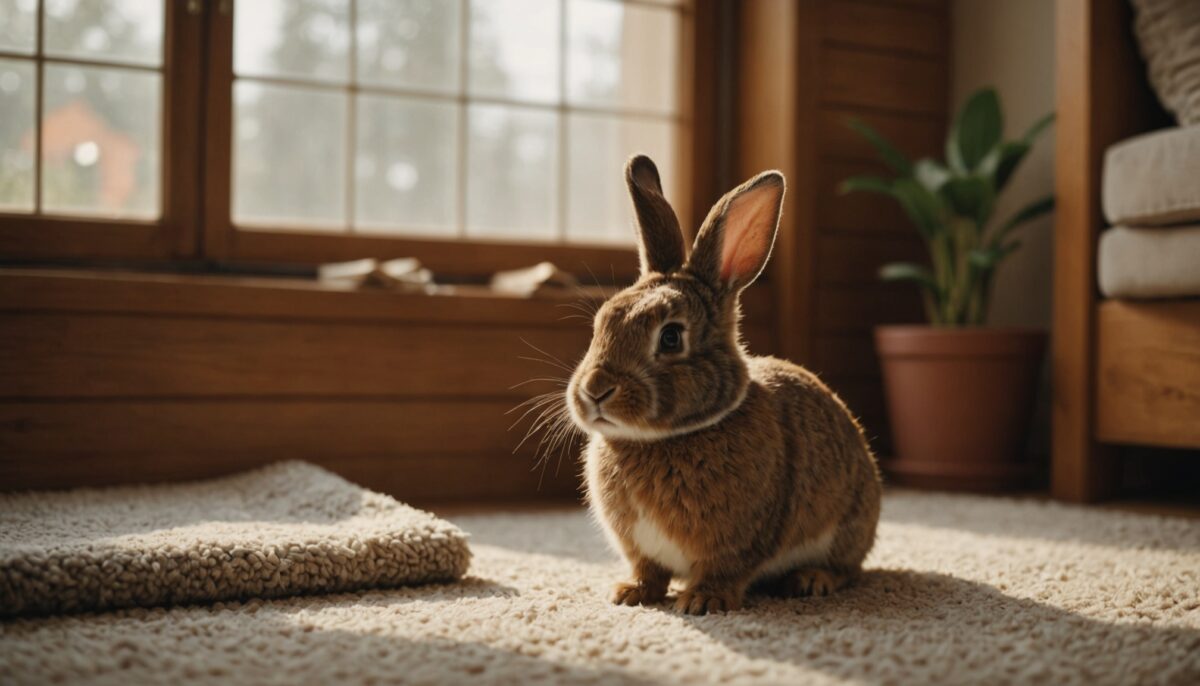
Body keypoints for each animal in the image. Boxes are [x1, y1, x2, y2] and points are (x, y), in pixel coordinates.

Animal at [565, 155, 882, 616]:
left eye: (671, 337)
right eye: (601, 323)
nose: (594, 390)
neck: (660, 439)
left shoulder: (738, 543)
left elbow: (724, 570)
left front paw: (702, 601)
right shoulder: (641, 549)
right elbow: (648, 570)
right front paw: (630, 593)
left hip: (848, 525)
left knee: (849, 569)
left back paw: (810, 580)